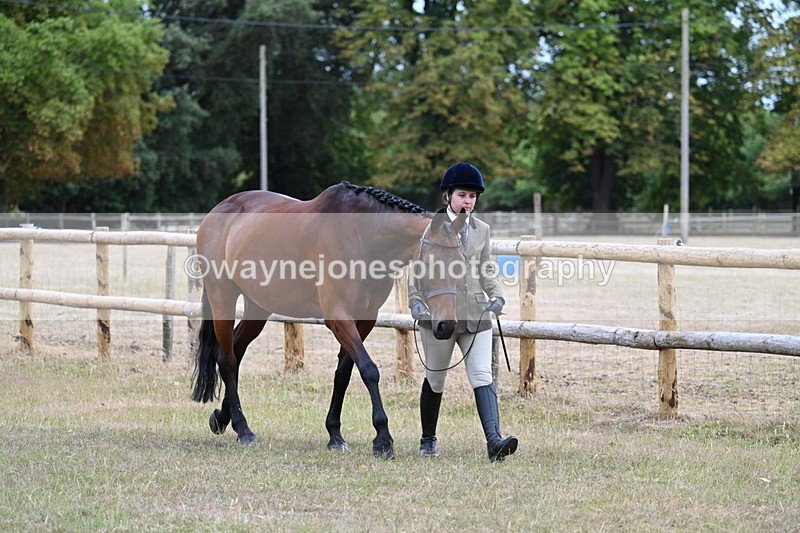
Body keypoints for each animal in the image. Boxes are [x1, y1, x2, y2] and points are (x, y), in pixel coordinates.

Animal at [190, 182, 467, 458]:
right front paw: (383, 438)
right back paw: (243, 429)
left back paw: (222, 418)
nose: (446, 326)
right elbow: (369, 369)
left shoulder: (365, 320)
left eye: (459, 265)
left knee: (236, 352)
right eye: (431, 264)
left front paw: (335, 434)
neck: (361, 238)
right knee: (226, 360)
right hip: (222, 298)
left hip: (257, 308)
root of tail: (218, 211)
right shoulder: (339, 318)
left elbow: (343, 373)